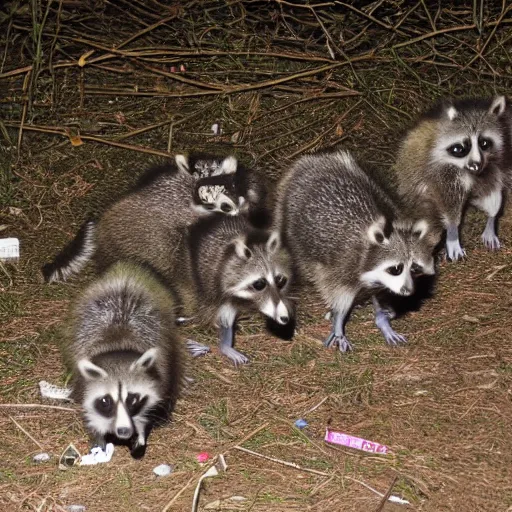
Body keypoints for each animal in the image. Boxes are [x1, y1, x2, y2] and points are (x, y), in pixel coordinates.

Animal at [65, 262, 183, 458]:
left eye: (133, 399)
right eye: (106, 401)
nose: (124, 431)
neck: (118, 347)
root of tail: (125, 270)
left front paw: (140, 436)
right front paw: (99, 439)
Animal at [276, 149, 440, 352]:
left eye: (416, 269)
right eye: (396, 269)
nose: (408, 291)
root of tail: (313, 160)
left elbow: (381, 294)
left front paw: (384, 316)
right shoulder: (343, 264)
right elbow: (338, 291)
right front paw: (339, 320)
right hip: (292, 225)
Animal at [396, 96, 512, 260]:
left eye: (484, 143)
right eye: (459, 148)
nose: (476, 165)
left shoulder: (494, 166)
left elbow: (494, 191)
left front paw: (491, 219)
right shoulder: (440, 173)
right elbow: (449, 201)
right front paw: (452, 233)